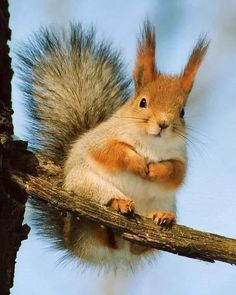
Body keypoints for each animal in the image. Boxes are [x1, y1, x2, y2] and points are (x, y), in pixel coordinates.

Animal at [17, 21, 208, 270]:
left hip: (164, 202)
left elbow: (176, 171)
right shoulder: (102, 139)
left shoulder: (180, 155)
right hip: (86, 186)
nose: (163, 124)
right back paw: (117, 204)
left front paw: (156, 170)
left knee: (139, 246)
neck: (151, 144)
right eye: (143, 102)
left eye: (182, 112)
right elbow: (112, 152)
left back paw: (163, 217)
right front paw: (138, 163)